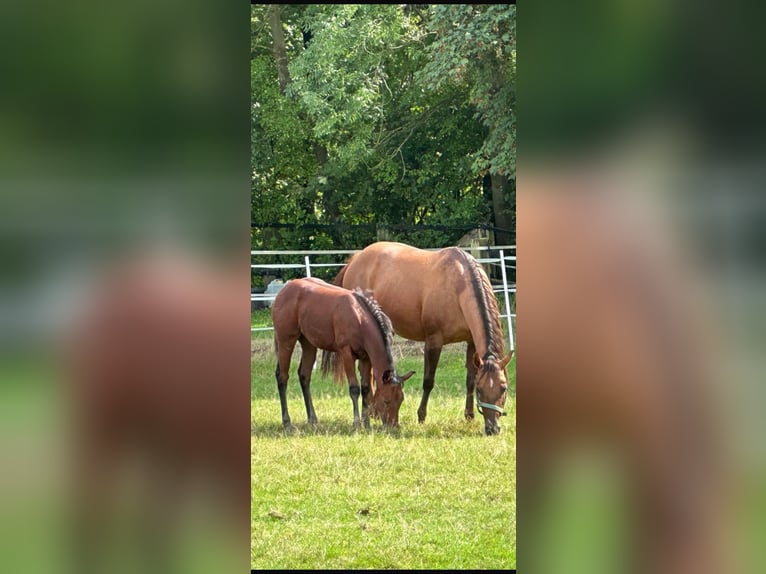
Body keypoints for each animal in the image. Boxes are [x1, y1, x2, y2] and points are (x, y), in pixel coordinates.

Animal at [271, 277, 415, 430]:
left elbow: (365, 389)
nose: (394, 426)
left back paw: (312, 419)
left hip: (309, 344)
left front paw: (366, 423)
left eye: (401, 400)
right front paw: (357, 423)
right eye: (386, 401)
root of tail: (285, 289)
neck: (359, 318)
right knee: (282, 377)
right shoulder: (346, 354)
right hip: (286, 341)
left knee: (304, 376)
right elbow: (354, 389)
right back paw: (287, 423)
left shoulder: (365, 358)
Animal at [333, 241, 514, 436]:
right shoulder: (434, 341)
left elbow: (470, 379)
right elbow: (428, 381)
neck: (457, 286)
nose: (492, 428)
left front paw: (469, 415)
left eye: (504, 388)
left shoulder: (471, 343)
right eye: (481, 391)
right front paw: (421, 416)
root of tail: (355, 259)